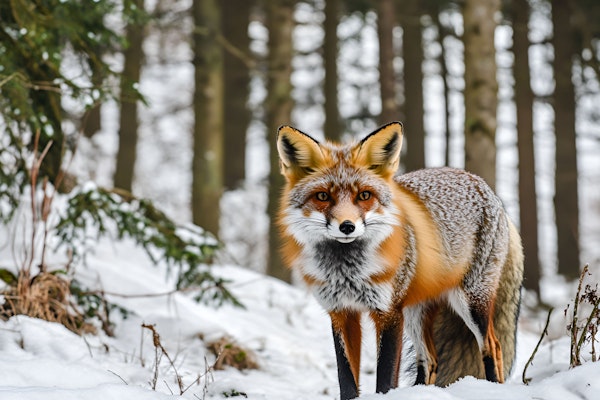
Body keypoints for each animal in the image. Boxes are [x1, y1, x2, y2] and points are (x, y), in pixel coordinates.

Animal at [274, 122, 524, 400]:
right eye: (322, 197)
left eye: (364, 196)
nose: (347, 226)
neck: (347, 272)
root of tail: (483, 185)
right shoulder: (341, 313)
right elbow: (346, 380)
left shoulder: (388, 312)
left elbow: (384, 378)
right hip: (416, 311)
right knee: (430, 360)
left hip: (470, 302)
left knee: (493, 346)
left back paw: (493, 388)